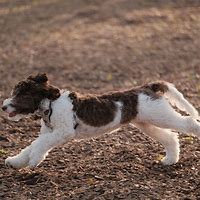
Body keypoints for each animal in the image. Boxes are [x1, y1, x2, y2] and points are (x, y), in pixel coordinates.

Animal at [1, 72, 200, 168]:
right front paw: (16, 162)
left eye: (22, 94)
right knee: (170, 138)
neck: (51, 103)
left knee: (189, 123)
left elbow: (37, 145)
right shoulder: (49, 133)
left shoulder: (63, 132)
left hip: (160, 116)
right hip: (146, 123)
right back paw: (170, 160)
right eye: (14, 92)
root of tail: (146, 87)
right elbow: (31, 145)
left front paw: (34, 159)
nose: (4, 107)